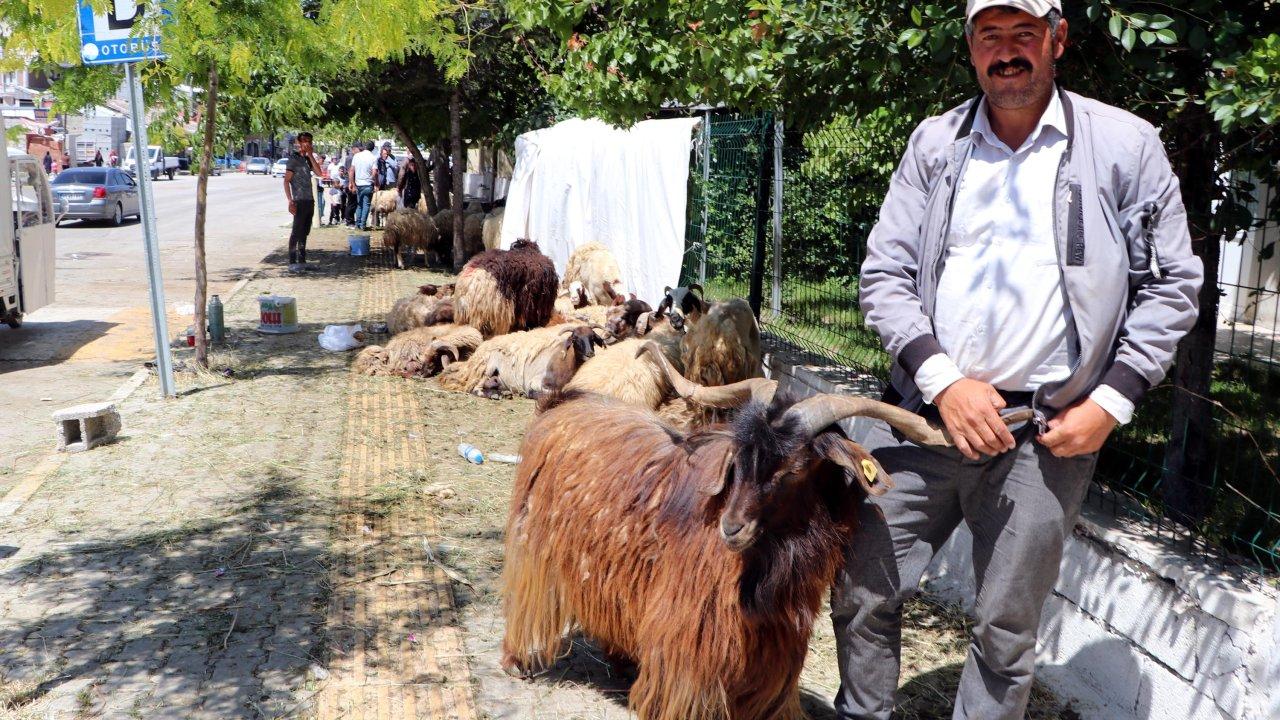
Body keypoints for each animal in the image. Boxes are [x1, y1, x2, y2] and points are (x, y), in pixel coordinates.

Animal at [435, 320, 604, 394]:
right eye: (575, 339)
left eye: (593, 338)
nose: (590, 354)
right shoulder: (535, 381)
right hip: (487, 368)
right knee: (474, 388)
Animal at [499, 386, 998, 717]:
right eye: (737, 460)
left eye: (794, 468)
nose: (731, 527)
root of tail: (563, 405)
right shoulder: (691, 627)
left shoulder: (778, 637)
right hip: (536, 545)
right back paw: (518, 661)